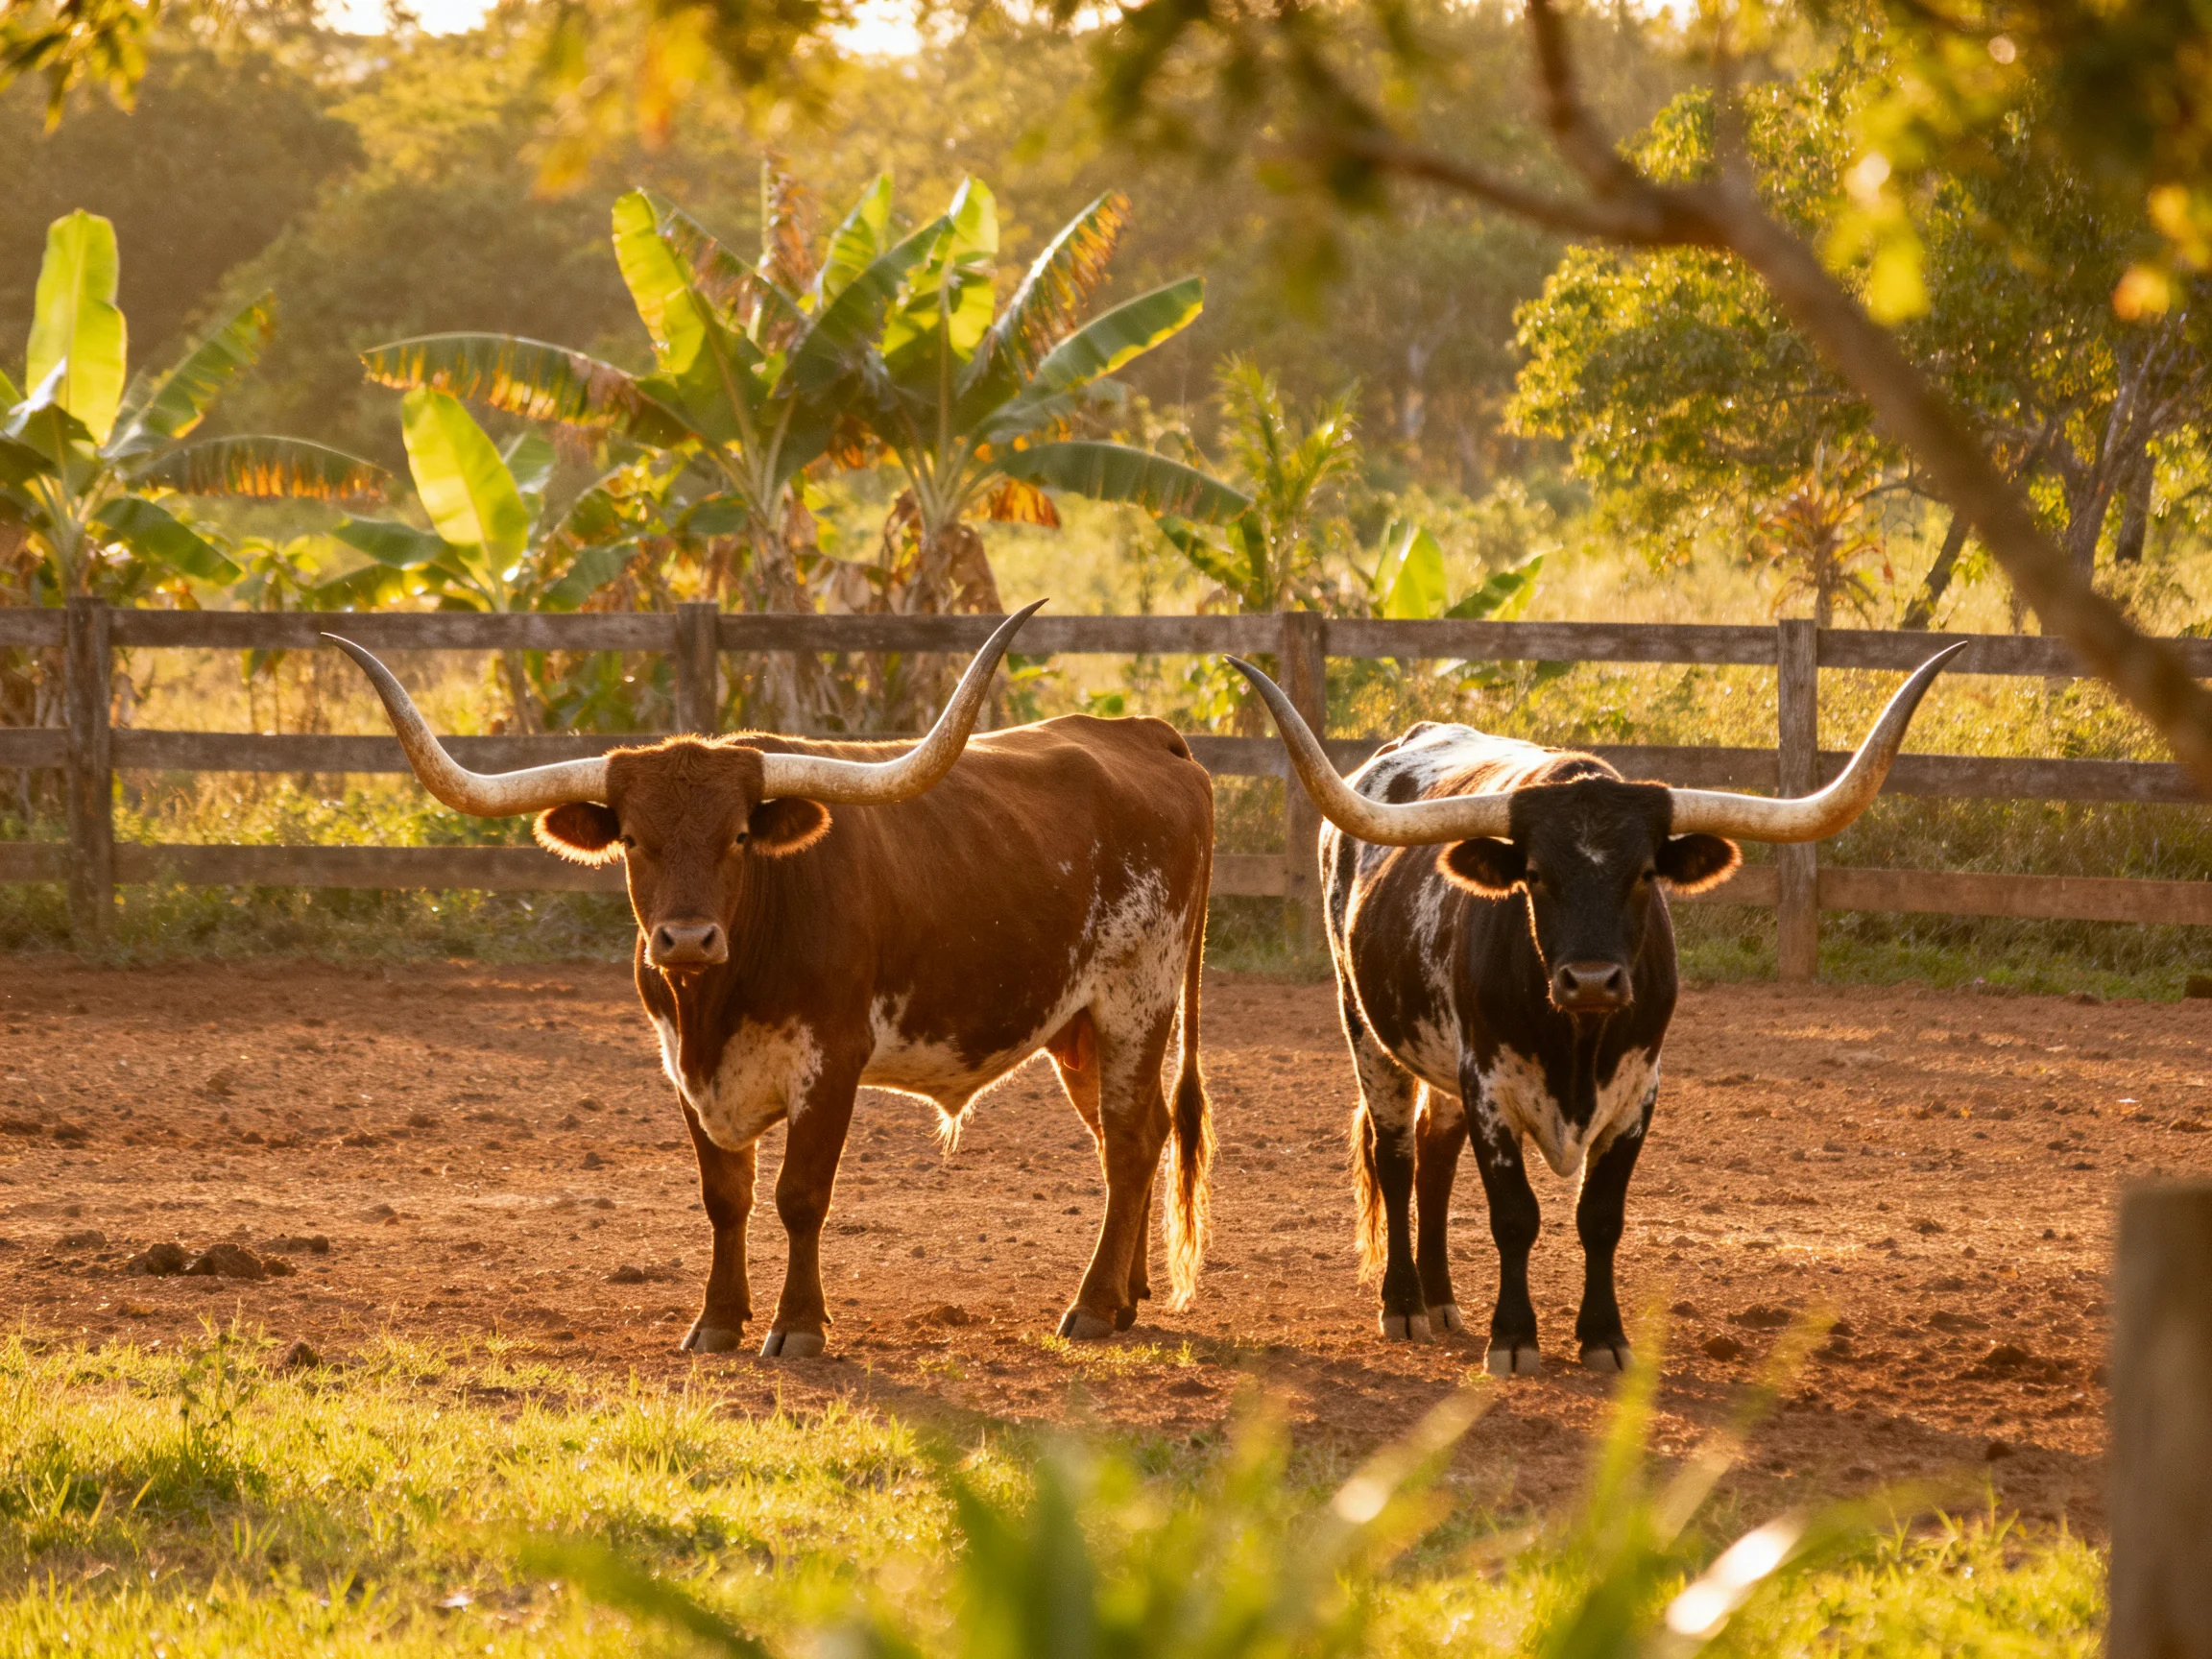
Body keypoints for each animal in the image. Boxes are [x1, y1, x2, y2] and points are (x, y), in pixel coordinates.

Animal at [330, 604, 1216, 1358]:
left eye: (737, 836)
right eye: (634, 839)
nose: (687, 938)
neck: (717, 1000)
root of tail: (1147, 736)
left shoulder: (831, 1062)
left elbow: (799, 1196)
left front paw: (797, 1327)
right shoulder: (682, 1067)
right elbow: (725, 1197)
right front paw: (717, 1322)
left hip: (1139, 997)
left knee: (1130, 1143)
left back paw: (1093, 1306)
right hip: (1078, 1027)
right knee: (1130, 1136)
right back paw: (1128, 1295)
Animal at [1227, 644, 1961, 1375]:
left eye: (1643, 875)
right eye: (1535, 875)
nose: (1590, 981)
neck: (1577, 1042)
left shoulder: (1638, 1091)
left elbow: (1601, 1217)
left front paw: (1604, 1337)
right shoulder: (1489, 1085)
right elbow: (1514, 1216)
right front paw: (1513, 1339)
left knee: (1436, 1155)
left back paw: (1441, 1300)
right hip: (1366, 1029)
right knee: (1398, 1156)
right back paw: (1405, 1304)